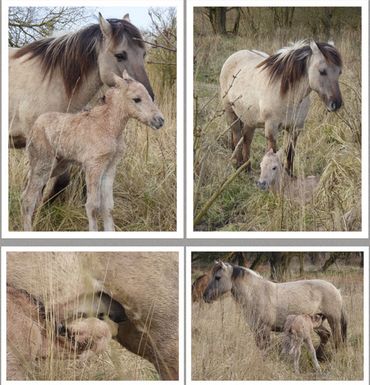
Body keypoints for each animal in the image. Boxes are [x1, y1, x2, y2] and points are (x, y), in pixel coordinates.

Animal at [21, 70, 163, 230]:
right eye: (136, 99)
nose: (160, 120)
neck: (110, 127)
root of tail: (34, 126)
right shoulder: (94, 165)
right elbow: (92, 206)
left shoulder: (110, 166)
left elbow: (108, 206)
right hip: (43, 162)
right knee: (28, 199)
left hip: (58, 165)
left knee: (27, 190)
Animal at [204, 260, 346, 358]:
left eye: (217, 277)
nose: (205, 296)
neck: (256, 293)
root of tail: (336, 290)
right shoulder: (256, 329)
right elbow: (260, 347)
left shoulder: (264, 329)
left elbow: (265, 348)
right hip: (317, 321)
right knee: (326, 336)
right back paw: (319, 356)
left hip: (333, 319)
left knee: (337, 340)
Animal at [220, 39, 344, 174]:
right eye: (322, 71)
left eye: (339, 72)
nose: (336, 104)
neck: (288, 96)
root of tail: (234, 56)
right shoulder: (271, 130)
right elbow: (272, 155)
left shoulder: (295, 129)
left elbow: (290, 154)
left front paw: (289, 174)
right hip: (231, 113)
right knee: (237, 137)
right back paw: (238, 166)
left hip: (249, 119)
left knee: (247, 140)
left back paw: (246, 168)